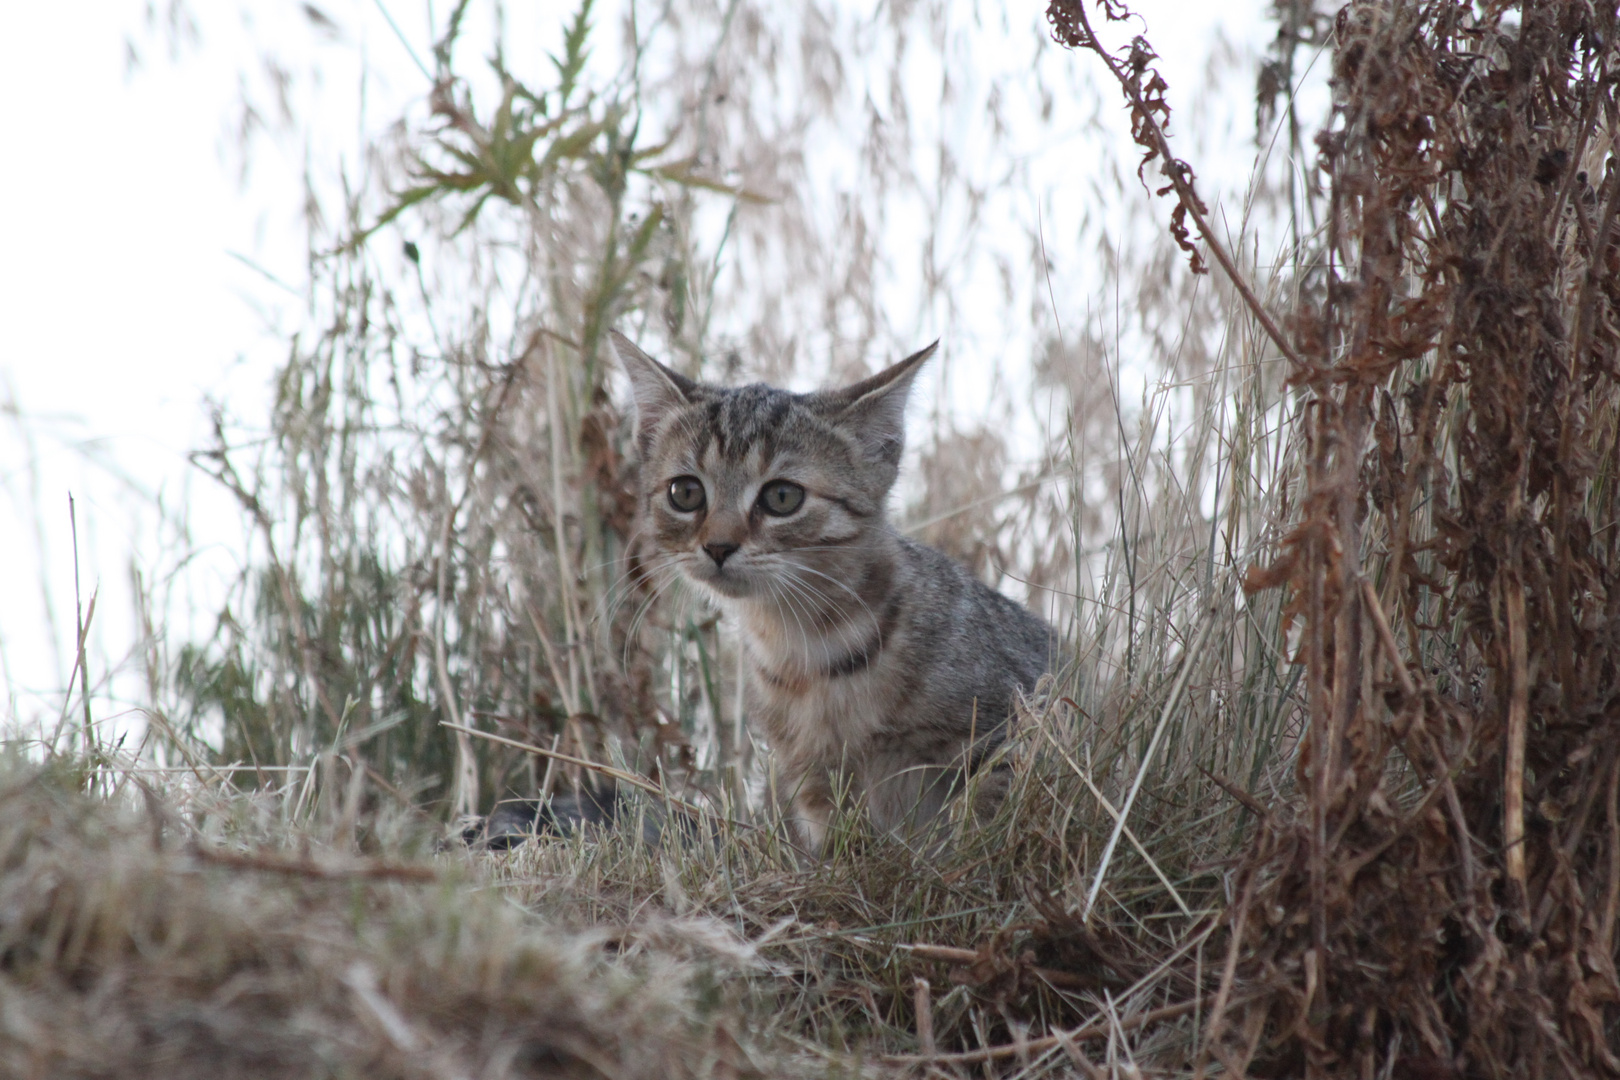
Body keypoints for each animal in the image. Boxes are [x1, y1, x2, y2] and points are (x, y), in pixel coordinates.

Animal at [612, 331, 1056, 854]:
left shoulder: (1006, 727)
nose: (718, 546)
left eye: (783, 497)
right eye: (685, 493)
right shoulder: (817, 783)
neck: (806, 650)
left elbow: (982, 831)